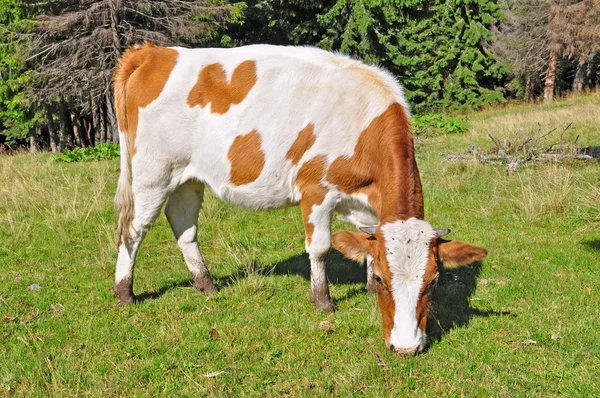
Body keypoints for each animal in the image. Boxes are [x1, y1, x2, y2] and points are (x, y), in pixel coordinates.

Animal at [112, 43, 488, 354]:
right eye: (385, 280)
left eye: (433, 281)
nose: (406, 346)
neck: (363, 121)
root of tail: (153, 52)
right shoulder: (316, 190)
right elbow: (320, 248)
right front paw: (323, 302)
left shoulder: (368, 205)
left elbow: (367, 242)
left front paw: (364, 287)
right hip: (152, 173)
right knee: (133, 229)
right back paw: (124, 292)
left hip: (188, 177)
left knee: (184, 225)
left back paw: (205, 284)